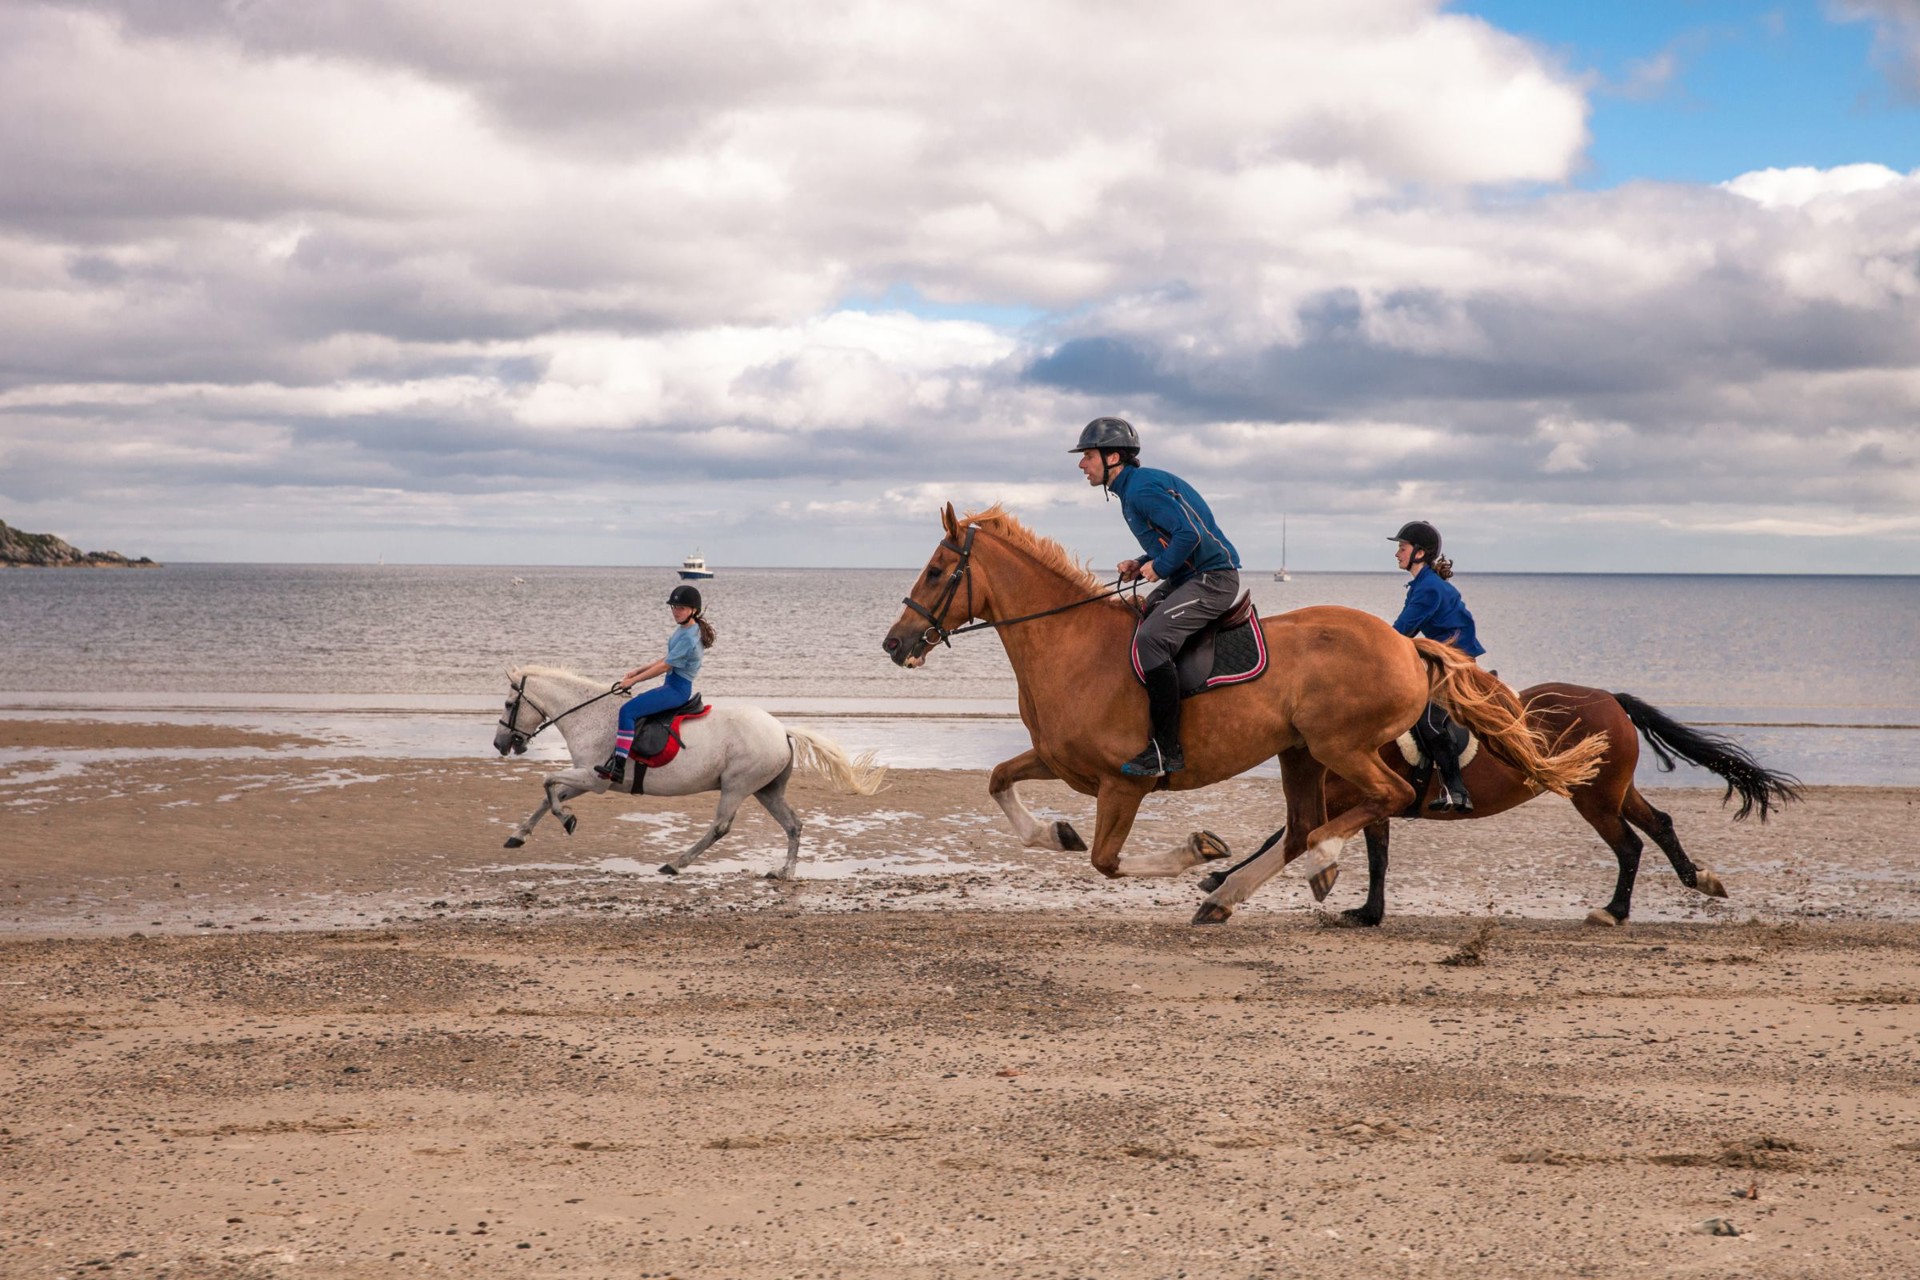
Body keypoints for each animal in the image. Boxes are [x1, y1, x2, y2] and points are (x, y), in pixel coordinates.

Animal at [495, 667, 883, 875]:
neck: (589, 715)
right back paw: (784, 872)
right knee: (793, 825)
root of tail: (782, 730)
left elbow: (547, 782)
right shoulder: (586, 779)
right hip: (767, 790)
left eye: (510, 704)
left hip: (737, 786)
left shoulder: (595, 779)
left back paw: (676, 863)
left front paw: (567, 819)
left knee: (721, 827)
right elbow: (549, 795)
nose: (501, 744)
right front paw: (519, 835)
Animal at [879, 506, 1605, 924]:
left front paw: (1197, 851)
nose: (893, 644)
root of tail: (1406, 644)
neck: (1072, 645)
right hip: (1299, 753)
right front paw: (1054, 834)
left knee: (1383, 799)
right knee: (1302, 826)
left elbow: (1108, 862)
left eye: (938, 571)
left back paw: (1317, 864)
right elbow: (998, 779)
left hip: (1340, 748)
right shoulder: (1061, 762)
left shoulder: (1123, 783)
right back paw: (1227, 897)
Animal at [1198, 687, 1797, 924]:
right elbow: (1373, 858)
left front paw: (1220, 880)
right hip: (1614, 789)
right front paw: (1368, 913)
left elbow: (1292, 837)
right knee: (1660, 823)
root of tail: (1610, 698)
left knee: (1628, 844)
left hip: (1593, 798)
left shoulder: (1359, 799)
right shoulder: (1371, 805)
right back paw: (1700, 878)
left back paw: (1613, 910)